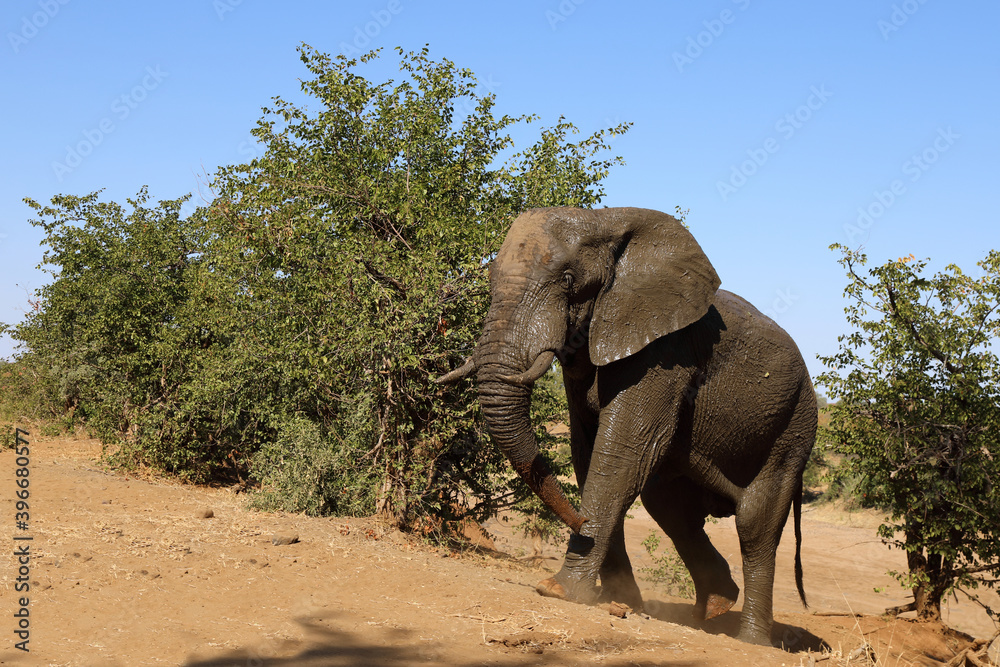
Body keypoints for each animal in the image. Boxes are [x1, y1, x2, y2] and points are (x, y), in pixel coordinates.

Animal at [437, 207, 816, 646]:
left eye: (569, 280)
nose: (582, 522)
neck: (604, 222)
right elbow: (588, 453)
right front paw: (618, 601)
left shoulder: (665, 350)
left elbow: (620, 454)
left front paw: (558, 590)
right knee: (670, 506)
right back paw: (717, 606)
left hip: (794, 425)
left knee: (754, 522)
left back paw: (749, 640)